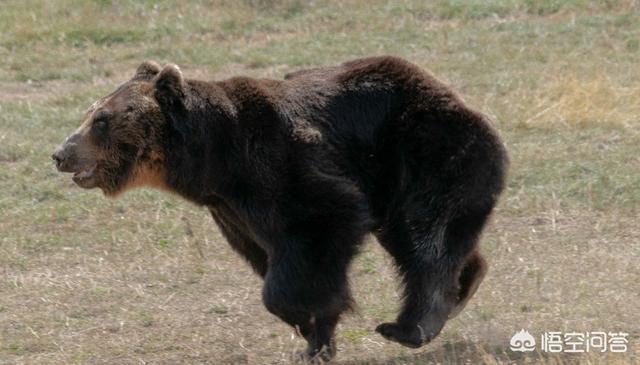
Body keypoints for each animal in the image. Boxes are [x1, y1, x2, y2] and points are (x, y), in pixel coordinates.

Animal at [52, 55, 508, 360]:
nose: (60, 153)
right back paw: (465, 284)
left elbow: (317, 234)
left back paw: (410, 324)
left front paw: (306, 318)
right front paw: (313, 339)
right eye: (90, 112)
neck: (215, 162)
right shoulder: (233, 212)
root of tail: (458, 97)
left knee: (424, 235)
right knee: (429, 237)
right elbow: (272, 257)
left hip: (426, 149)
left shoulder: (284, 171)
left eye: (101, 120)